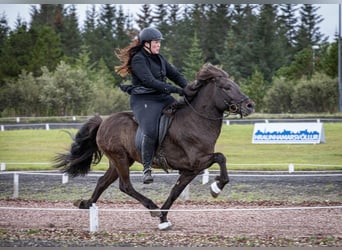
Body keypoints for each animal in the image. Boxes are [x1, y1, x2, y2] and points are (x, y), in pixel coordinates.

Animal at [54, 63, 255, 229]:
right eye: (226, 87)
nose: (250, 105)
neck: (196, 121)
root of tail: (103, 122)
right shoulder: (196, 162)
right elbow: (220, 157)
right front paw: (216, 187)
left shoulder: (191, 170)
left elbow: (175, 191)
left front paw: (164, 219)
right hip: (120, 159)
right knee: (125, 186)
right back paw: (151, 207)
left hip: (120, 161)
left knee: (103, 182)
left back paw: (86, 204)